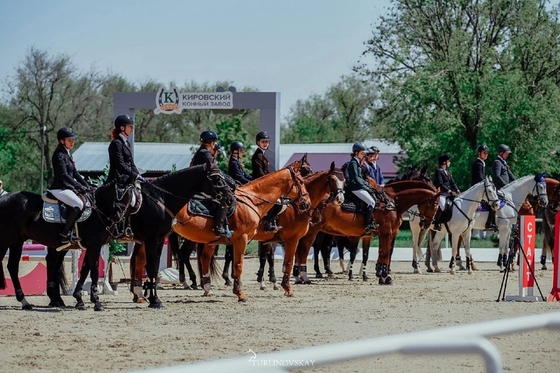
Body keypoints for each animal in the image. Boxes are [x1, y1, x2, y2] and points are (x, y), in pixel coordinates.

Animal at [296, 179, 444, 284]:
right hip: (313, 231)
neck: (392, 201)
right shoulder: (387, 233)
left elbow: (378, 254)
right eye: (436, 205)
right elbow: (385, 254)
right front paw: (385, 277)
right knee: (305, 249)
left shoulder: (379, 235)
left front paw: (379, 275)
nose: (426, 224)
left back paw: (299, 276)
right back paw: (304, 276)